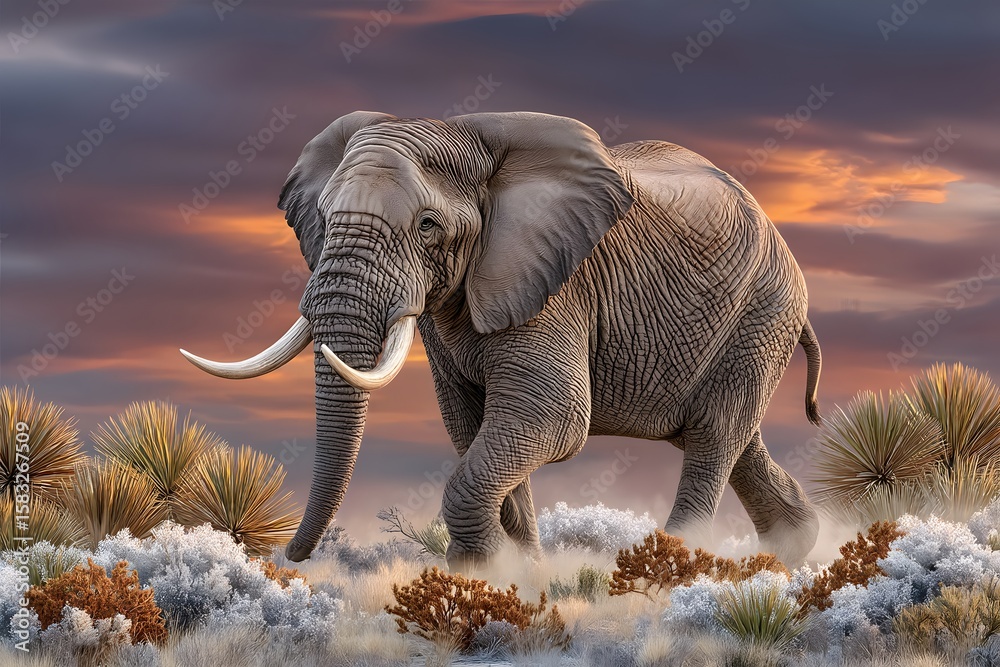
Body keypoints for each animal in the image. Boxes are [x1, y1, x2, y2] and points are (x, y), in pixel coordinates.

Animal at [181, 110, 823, 567]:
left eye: (427, 227)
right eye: (323, 215)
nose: (286, 555)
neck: (466, 136)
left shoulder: (553, 282)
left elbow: (552, 415)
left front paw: (482, 571)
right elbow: (470, 424)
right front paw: (521, 570)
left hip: (765, 309)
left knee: (713, 439)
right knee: (733, 439)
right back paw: (793, 547)